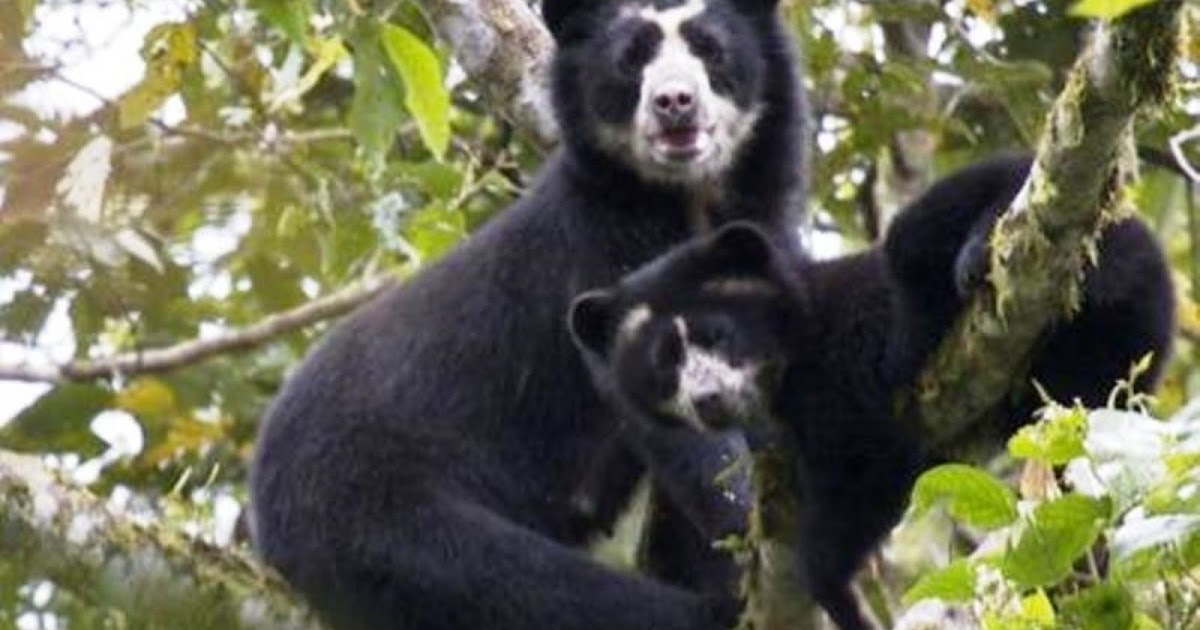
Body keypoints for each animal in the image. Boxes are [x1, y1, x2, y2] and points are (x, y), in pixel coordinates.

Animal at [247, 1, 806, 628]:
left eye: (710, 49)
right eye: (630, 62)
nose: (674, 103)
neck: (685, 200)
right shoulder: (603, 259)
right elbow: (678, 428)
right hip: (369, 510)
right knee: (513, 582)